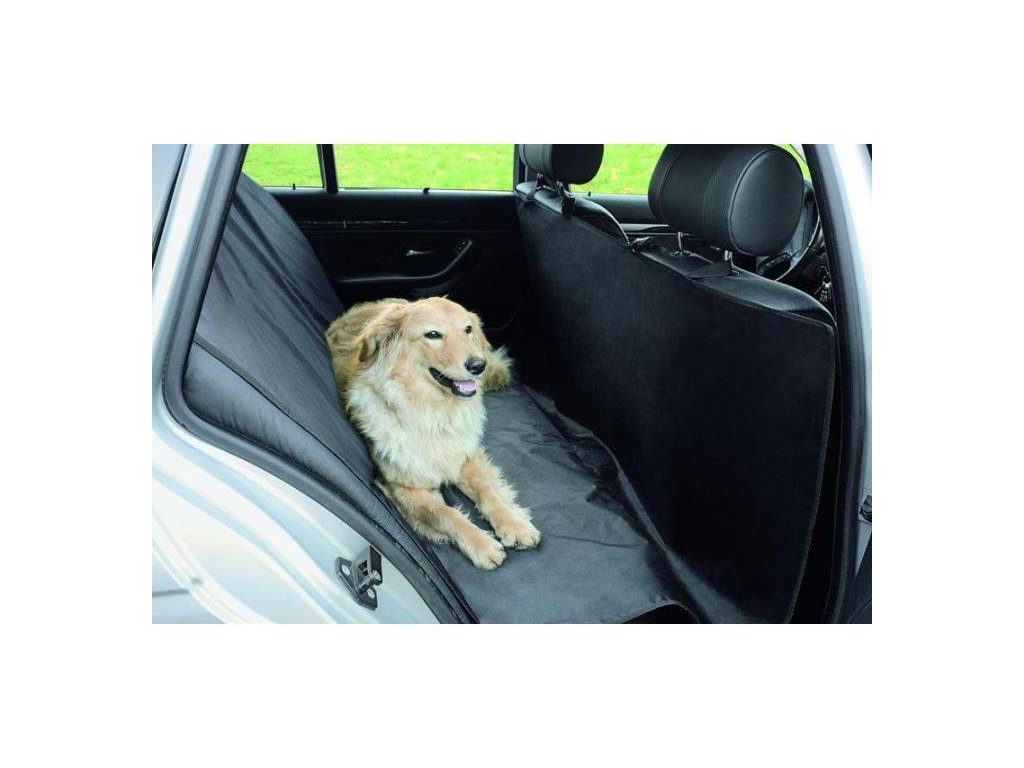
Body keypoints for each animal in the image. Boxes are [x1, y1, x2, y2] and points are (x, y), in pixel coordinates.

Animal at [325, 297, 541, 569]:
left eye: (468, 329)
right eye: (433, 334)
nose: (478, 365)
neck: (433, 412)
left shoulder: (464, 456)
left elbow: (487, 490)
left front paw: (514, 523)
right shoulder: (402, 488)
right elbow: (445, 514)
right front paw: (480, 544)